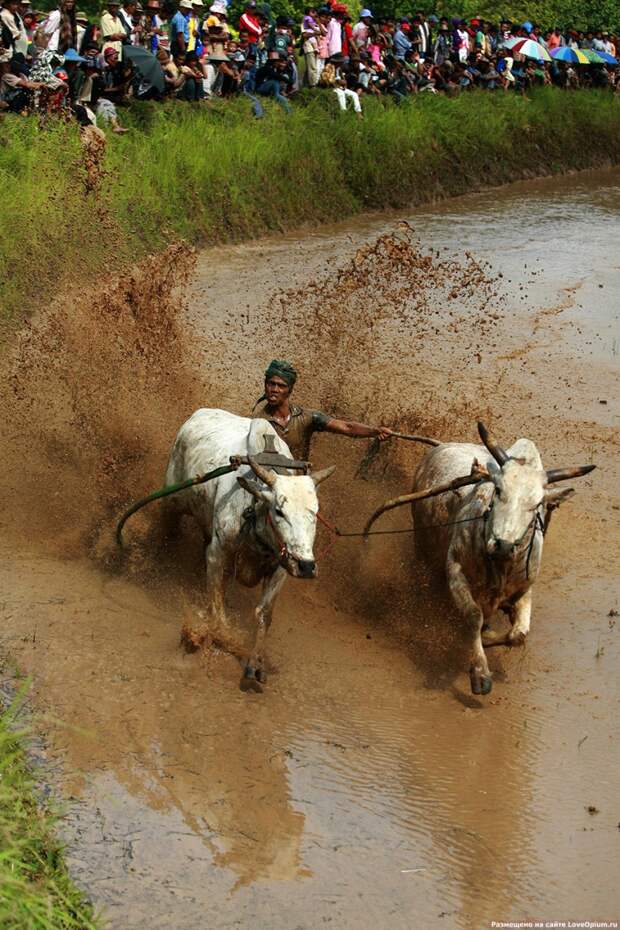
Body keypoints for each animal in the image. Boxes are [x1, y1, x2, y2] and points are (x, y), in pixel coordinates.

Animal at [162, 408, 332, 688]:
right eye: (279, 510)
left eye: (315, 512)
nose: (307, 566)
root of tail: (200, 413)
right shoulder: (218, 553)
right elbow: (217, 606)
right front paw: (218, 639)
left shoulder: (281, 569)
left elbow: (263, 614)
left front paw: (255, 666)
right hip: (173, 500)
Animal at [366, 418, 592, 688]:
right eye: (498, 490)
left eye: (538, 504)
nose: (503, 544)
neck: (500, 565)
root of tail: (442, 445)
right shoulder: (455, 571)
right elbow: (474, 616)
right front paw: (480, 671)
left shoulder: (524, 588)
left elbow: (518, 635)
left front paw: (490, 637)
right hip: (420, 544)